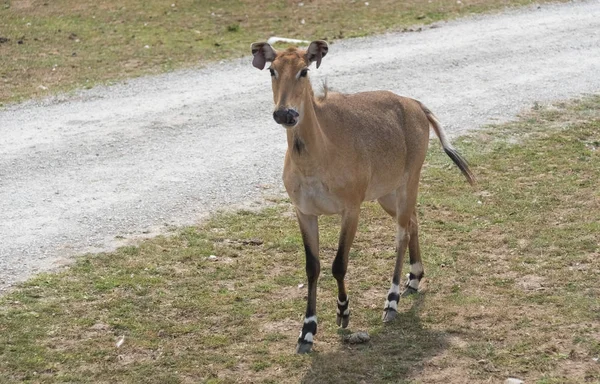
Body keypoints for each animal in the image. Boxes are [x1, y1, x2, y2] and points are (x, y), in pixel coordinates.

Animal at [252, 40, 474, 352]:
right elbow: (312, 266)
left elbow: (339, 264)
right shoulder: (304, 211)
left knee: (402, 234)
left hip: (409, 180)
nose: (286, 114)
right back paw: (414, 277)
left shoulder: (351, 208)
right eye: (272, 70)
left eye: (304, 70)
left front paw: (343, 311)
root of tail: (416, 105)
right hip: (387, 194)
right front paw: (306, 332)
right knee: (413, 222)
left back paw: (391, 301)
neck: (319, 155)